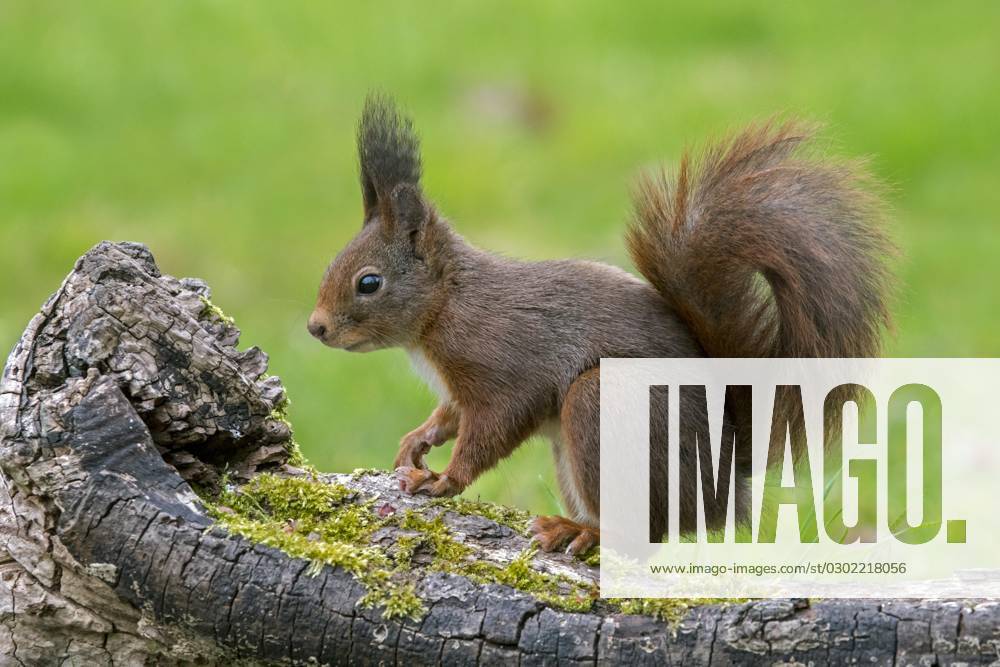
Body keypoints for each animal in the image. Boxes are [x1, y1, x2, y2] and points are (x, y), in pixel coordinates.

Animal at [308, 94, 896, 560]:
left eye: (368, 282)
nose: (315, 328)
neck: (446, 305)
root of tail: (725, 476)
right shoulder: (458, 387)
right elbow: (448, 415)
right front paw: (416, 443)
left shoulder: (504, 363)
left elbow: (494, 425)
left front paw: (445, 478)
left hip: (603, 408)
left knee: (645, 530)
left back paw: (581, 532)